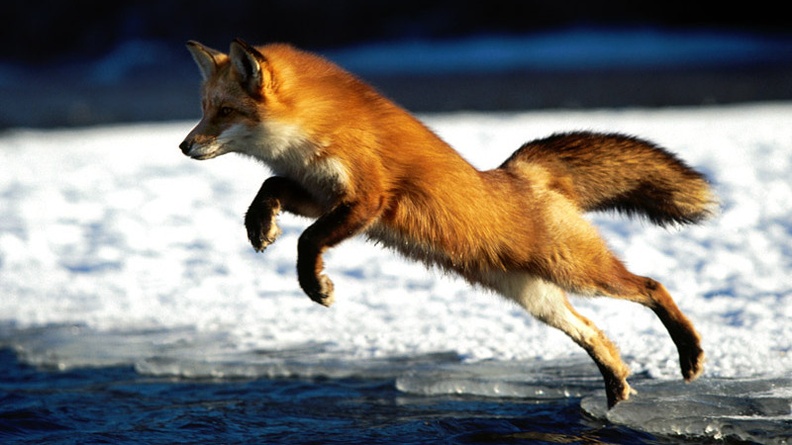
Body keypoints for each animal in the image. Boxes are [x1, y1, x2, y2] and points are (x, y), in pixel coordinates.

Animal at [179, 39, 714, 408]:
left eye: (224, 111)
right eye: (203, 109)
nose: (183, 146)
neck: (312, 132)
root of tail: (521, 172)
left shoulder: (367, 198)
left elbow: (308, 242)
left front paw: (316, 286)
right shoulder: (318, 193)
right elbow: (268, 187)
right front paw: (259, 226)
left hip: (579, 272)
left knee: (652, 286)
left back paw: (689, 354)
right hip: (538, 298)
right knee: (597, 336)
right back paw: (617, 390)